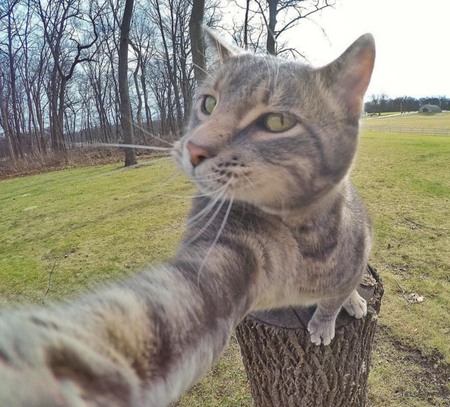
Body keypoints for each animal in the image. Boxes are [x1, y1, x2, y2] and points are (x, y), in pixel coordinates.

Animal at [0, 31, 372, 407]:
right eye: (208, 104)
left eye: (277, 122)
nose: (194, 148)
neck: (300, 233)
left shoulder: (352, 258)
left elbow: (333, 298)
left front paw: (327, 319)